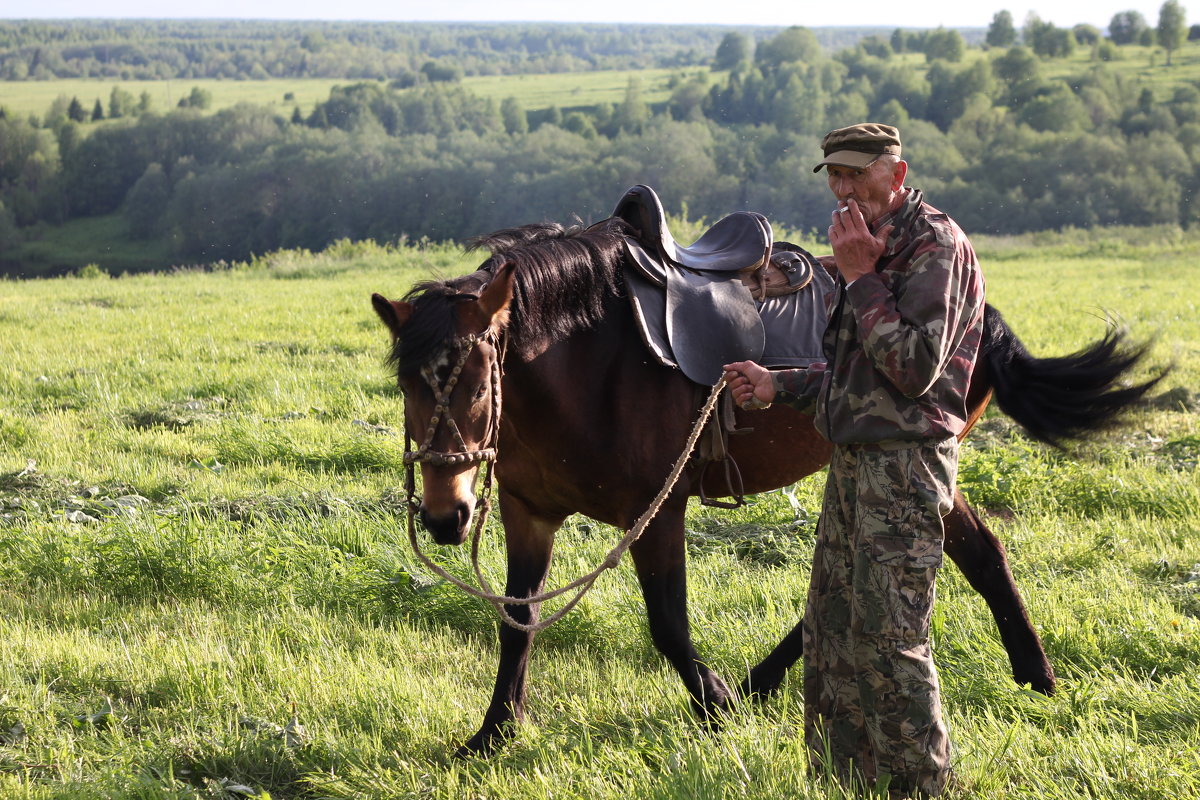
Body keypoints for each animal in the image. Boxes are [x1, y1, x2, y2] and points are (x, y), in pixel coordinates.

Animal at [369, 217, 1156, 753]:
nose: (443, 516)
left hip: (914, 455)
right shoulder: (526, 512)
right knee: (961, 555)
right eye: (406, 384)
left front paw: (713, 703)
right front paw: (494, 732)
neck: (585, 363)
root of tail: (980, 312)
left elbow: (667, 623)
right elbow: (516, 620)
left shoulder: (657, 512)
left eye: (476, 382)